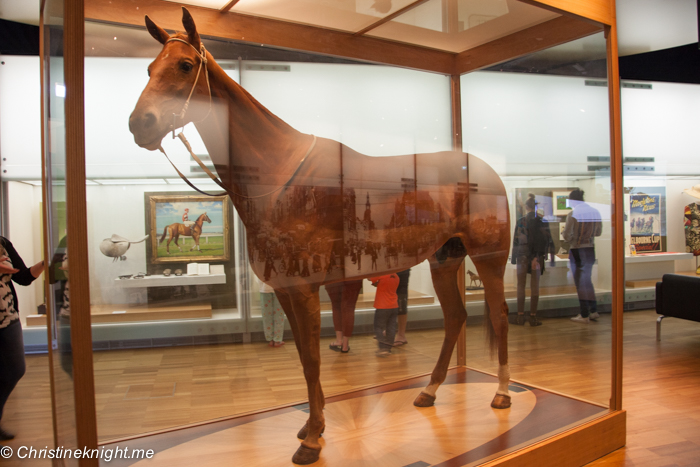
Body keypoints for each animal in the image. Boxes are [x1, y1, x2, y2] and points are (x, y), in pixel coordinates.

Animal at [129, 9, 512, 466]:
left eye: (185, 65)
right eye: (149, 68)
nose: (140, 125)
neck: (279, 174)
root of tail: (486, 172)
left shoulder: (305, 288)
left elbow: (312, 359)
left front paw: (312, 439)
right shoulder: (285, 290)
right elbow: (302, 356)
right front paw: (314, 425)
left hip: (489, 259)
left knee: (500, 315)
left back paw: (502, 393)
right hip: (444, 258)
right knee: (455, 318)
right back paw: (429, 391)